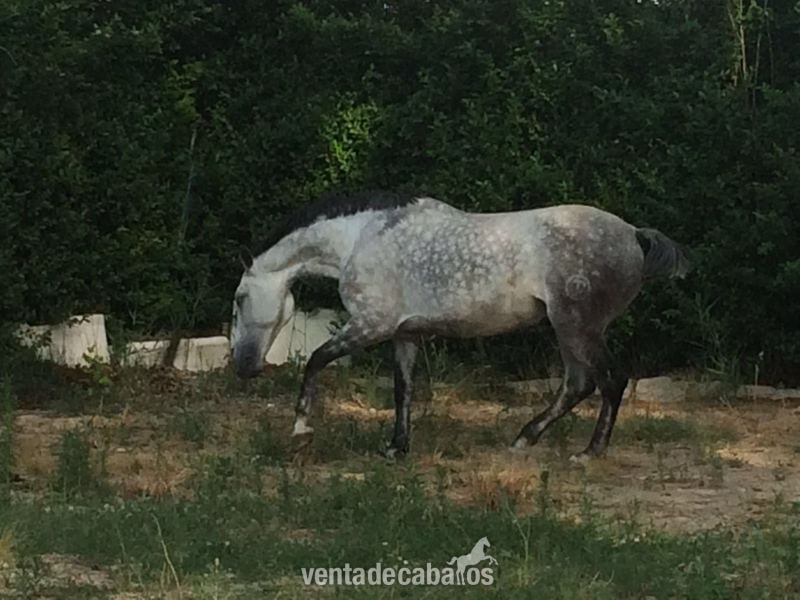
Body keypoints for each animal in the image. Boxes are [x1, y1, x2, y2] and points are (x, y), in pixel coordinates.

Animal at [230, 191, 689, 459]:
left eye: (239, 300)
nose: (241, 366)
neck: (360, 238)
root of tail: (633, 234)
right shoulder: (405, 334)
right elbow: (403, 390)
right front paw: (396, 448)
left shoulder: (371, 325)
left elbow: (316, 360)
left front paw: (301, 427)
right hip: (570, 330)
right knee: (578, 385)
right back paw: (525, 438)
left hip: (576, 327)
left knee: (609, 381)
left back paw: (589, 452)